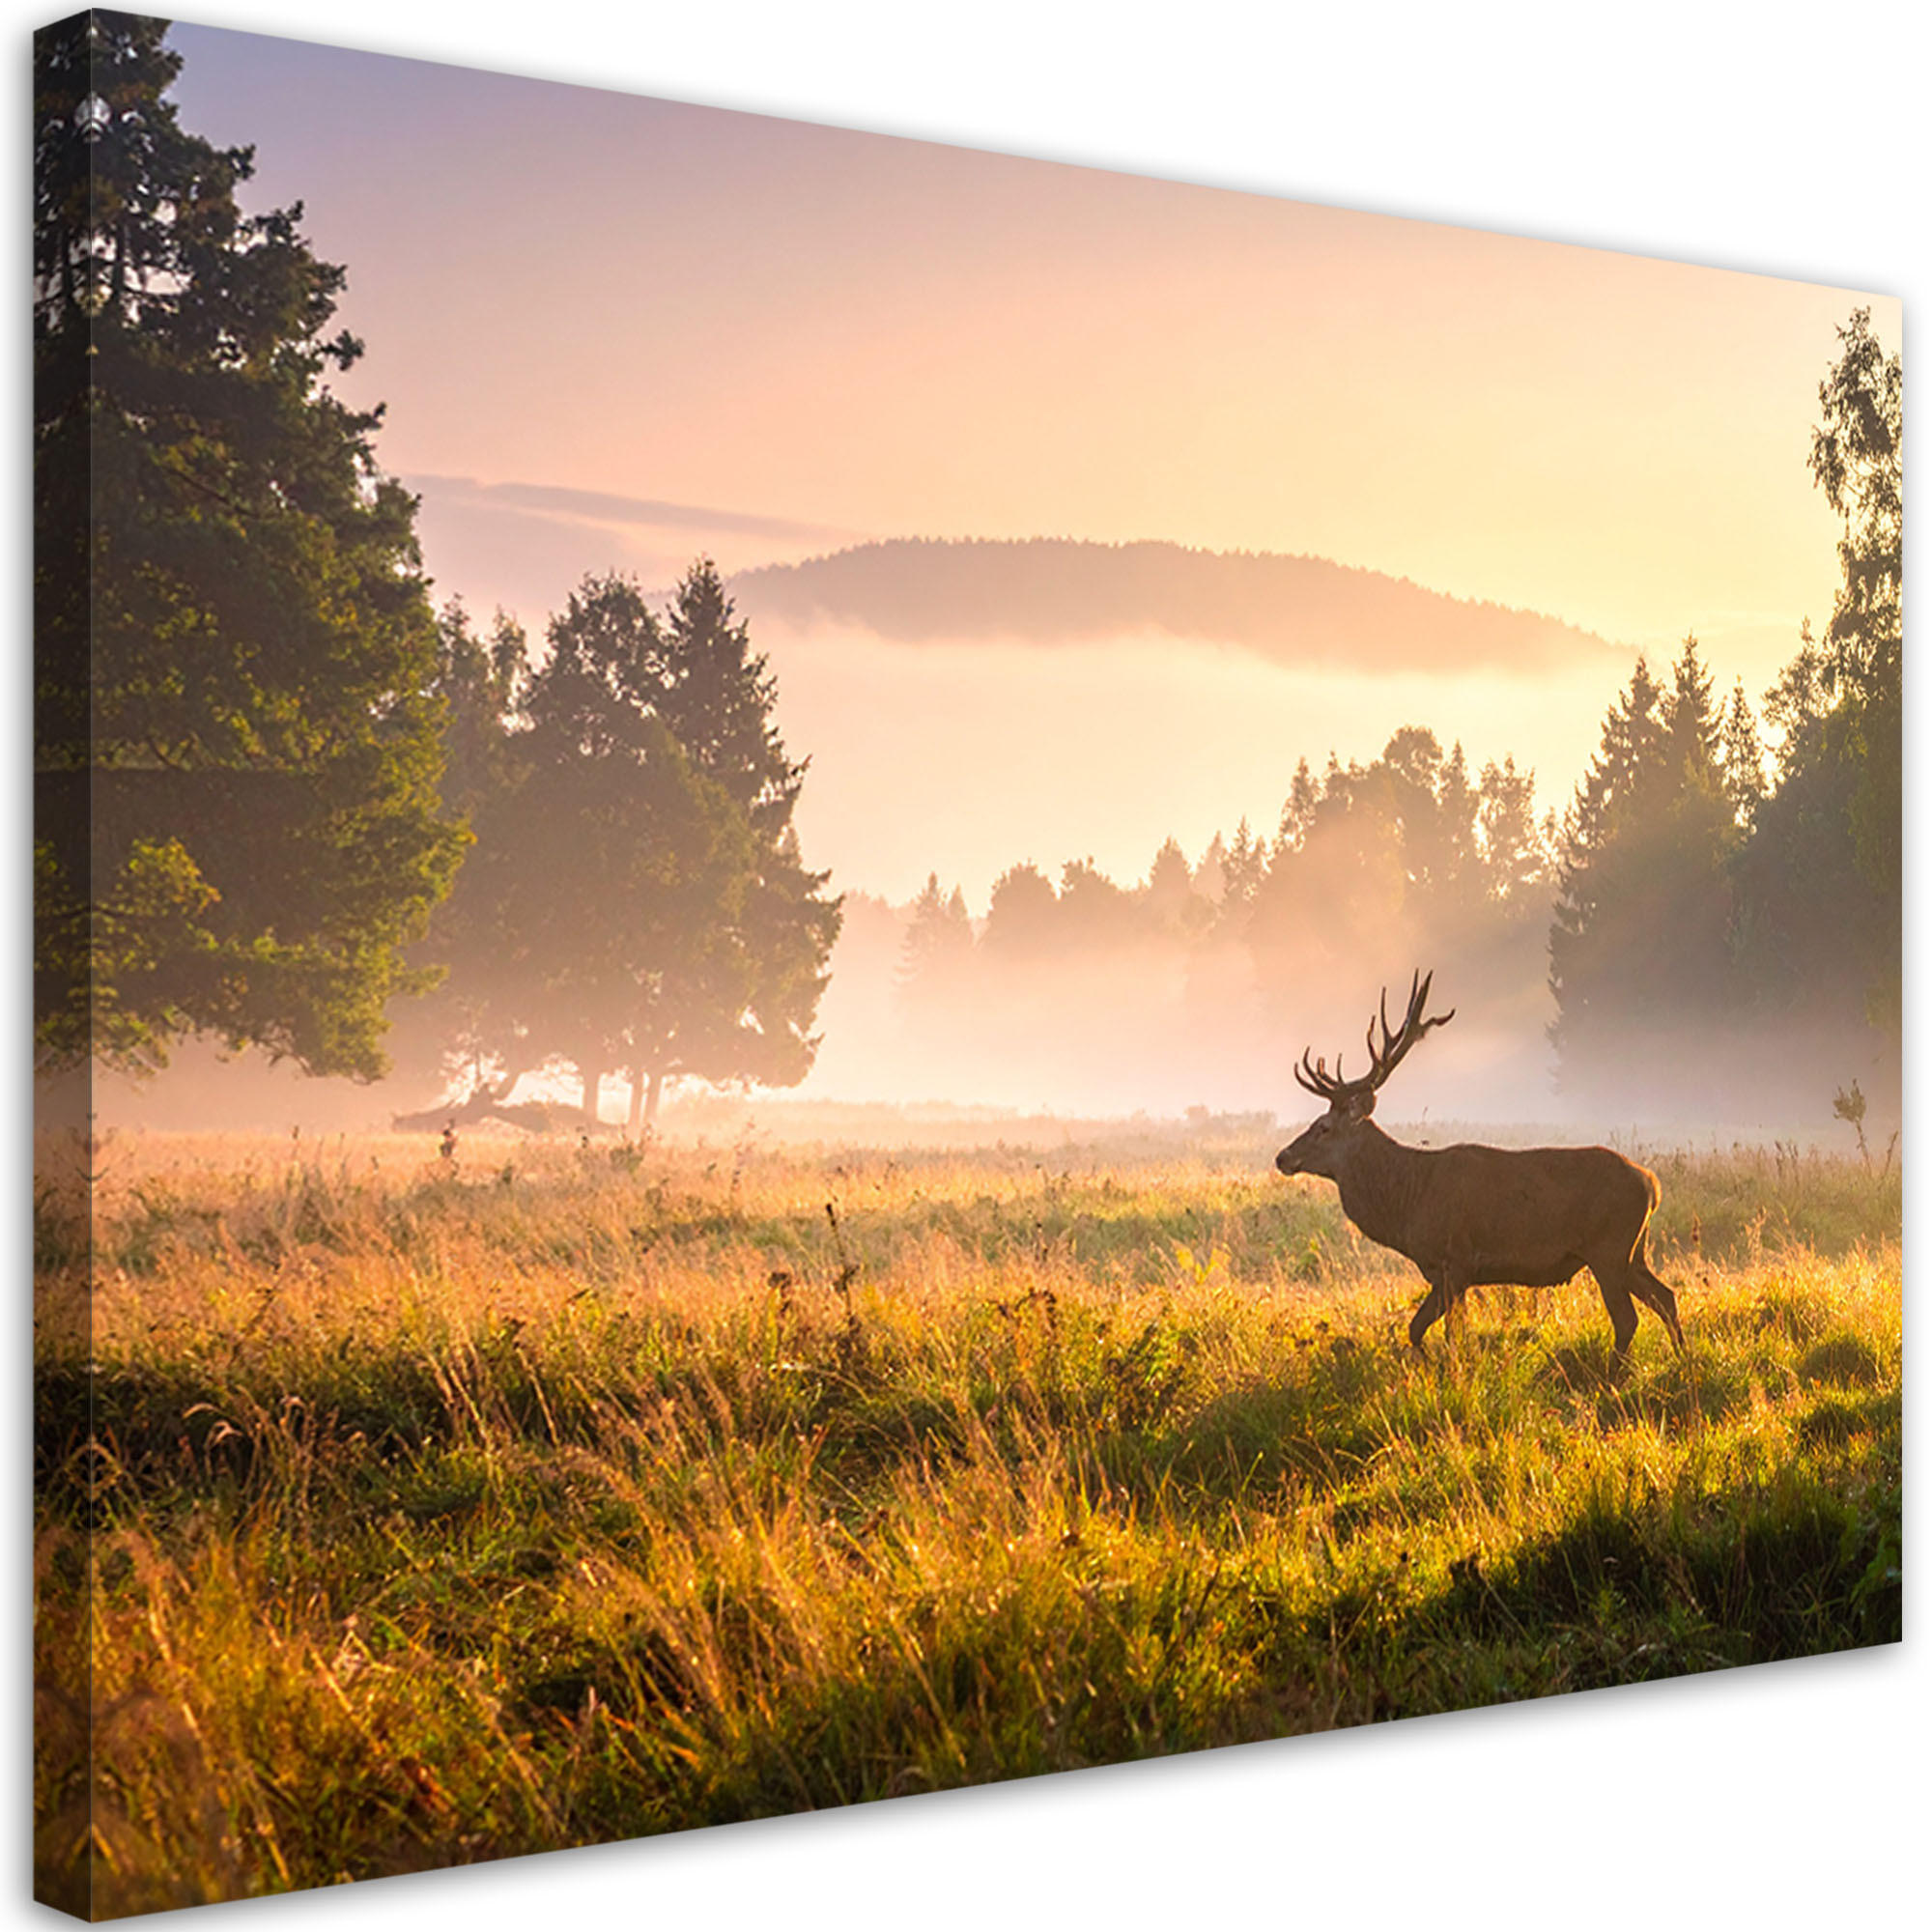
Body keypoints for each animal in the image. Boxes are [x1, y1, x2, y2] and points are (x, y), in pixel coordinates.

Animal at [1274, 971, 1684, 1359]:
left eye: (1323, 1127)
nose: (1283, 1157)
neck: (1408, 1204)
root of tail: (1652, 1184)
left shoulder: (1455, 1261)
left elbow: (1447, 1335)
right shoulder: (1442, 1273)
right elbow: (1419, 1330)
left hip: (1609, 1249)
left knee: (1627, 1319)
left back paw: (1615, 1376)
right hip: (1634, 1251)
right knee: (1666, 1298)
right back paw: (1683, 1359)